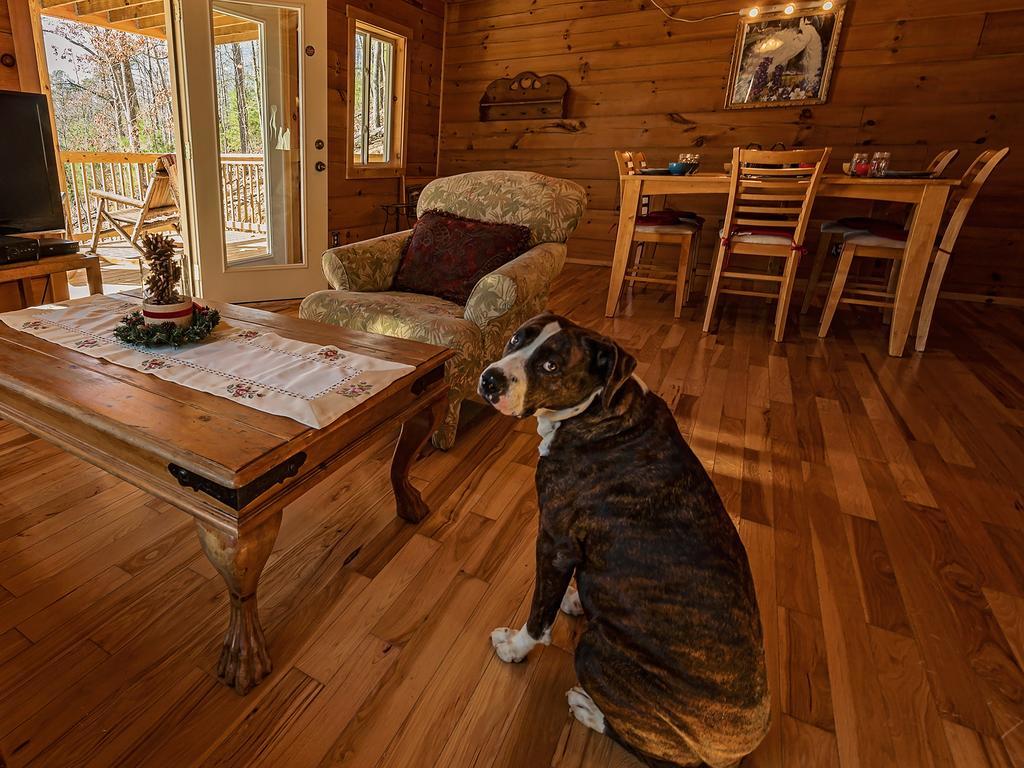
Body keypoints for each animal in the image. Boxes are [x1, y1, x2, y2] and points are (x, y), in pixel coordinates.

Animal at [477, 313, 770, 768]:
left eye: (550, 366)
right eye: (515, 339)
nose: (491, 379)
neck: (598, 412)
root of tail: (736, 751)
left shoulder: (555, 543)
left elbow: (540, 615)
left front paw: (515, 647)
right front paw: (577, 600)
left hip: (594, 652)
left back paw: (588, 709)